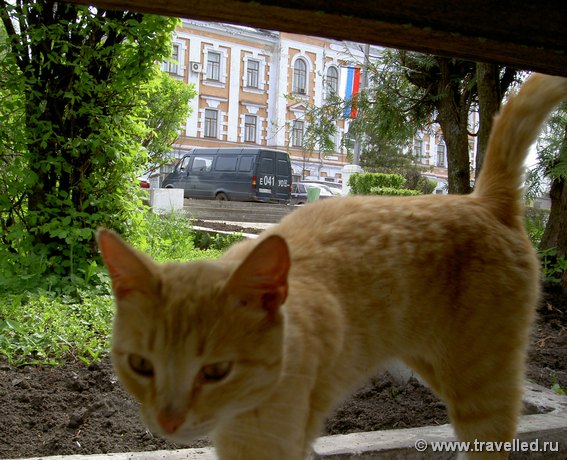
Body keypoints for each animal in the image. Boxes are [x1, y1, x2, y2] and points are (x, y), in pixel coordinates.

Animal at [96, 73, 567, 458]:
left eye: (216, 371)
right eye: (140, 365)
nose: (168, 421)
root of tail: (482, 199)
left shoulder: (267, 443)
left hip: (481, 390)